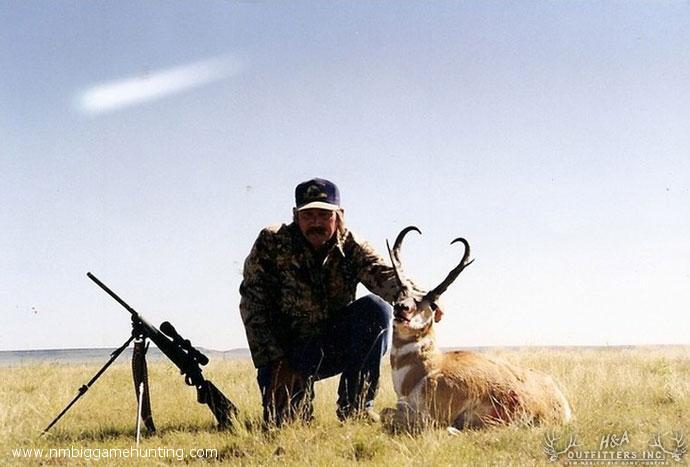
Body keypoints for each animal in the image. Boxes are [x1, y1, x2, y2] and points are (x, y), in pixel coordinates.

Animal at [382, 227, 568, 432]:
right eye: (400, 294)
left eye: (432, 304)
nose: (401, 308)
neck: (430, 367)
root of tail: (558, 396)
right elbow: (385, 412)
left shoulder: (430, 418)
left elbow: (389, 415)